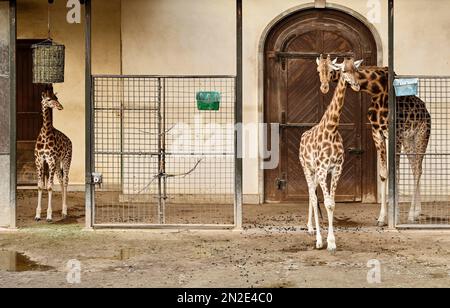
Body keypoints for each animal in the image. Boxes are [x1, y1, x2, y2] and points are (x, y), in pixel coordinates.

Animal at [34, 85, 72, 223]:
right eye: (49, 99)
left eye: (57, 98)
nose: (60, 106)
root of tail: (70, 141)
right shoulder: (39, 161)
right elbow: (40, 186)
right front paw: (38, 215)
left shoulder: (50, 161)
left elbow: (49, 187)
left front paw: (49, 216)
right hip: (57, 164)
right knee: (61, 180)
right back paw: (62, 211)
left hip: (66, 160)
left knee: (65, 180)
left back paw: (65, 211)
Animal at [300, 58, 364, 253]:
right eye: (343, 71)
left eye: (356, 70)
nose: (357, 85)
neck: (331, 129)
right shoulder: (322, 169)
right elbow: (326, 202)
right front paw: (325, 242)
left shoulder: (336, 168)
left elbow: (332, 203)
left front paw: (332, 242)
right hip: (307, 168)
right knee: (313, 197)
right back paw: (316, 237)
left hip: (317, 173)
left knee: (312, 193)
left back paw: (311, 227)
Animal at [314, 55, 430, 225]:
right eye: (318, 70)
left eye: (331, 70)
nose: (324, 87)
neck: (376, 90)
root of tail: (426, 111)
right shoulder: (377, 132)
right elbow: (383, 174)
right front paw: (382, 218)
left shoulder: (395, 133)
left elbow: (395, 174)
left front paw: (394, 216)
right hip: (409, 139)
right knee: (416, 168)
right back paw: (416, 212)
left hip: (422, 135)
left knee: (417, 169)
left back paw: (410, 215)